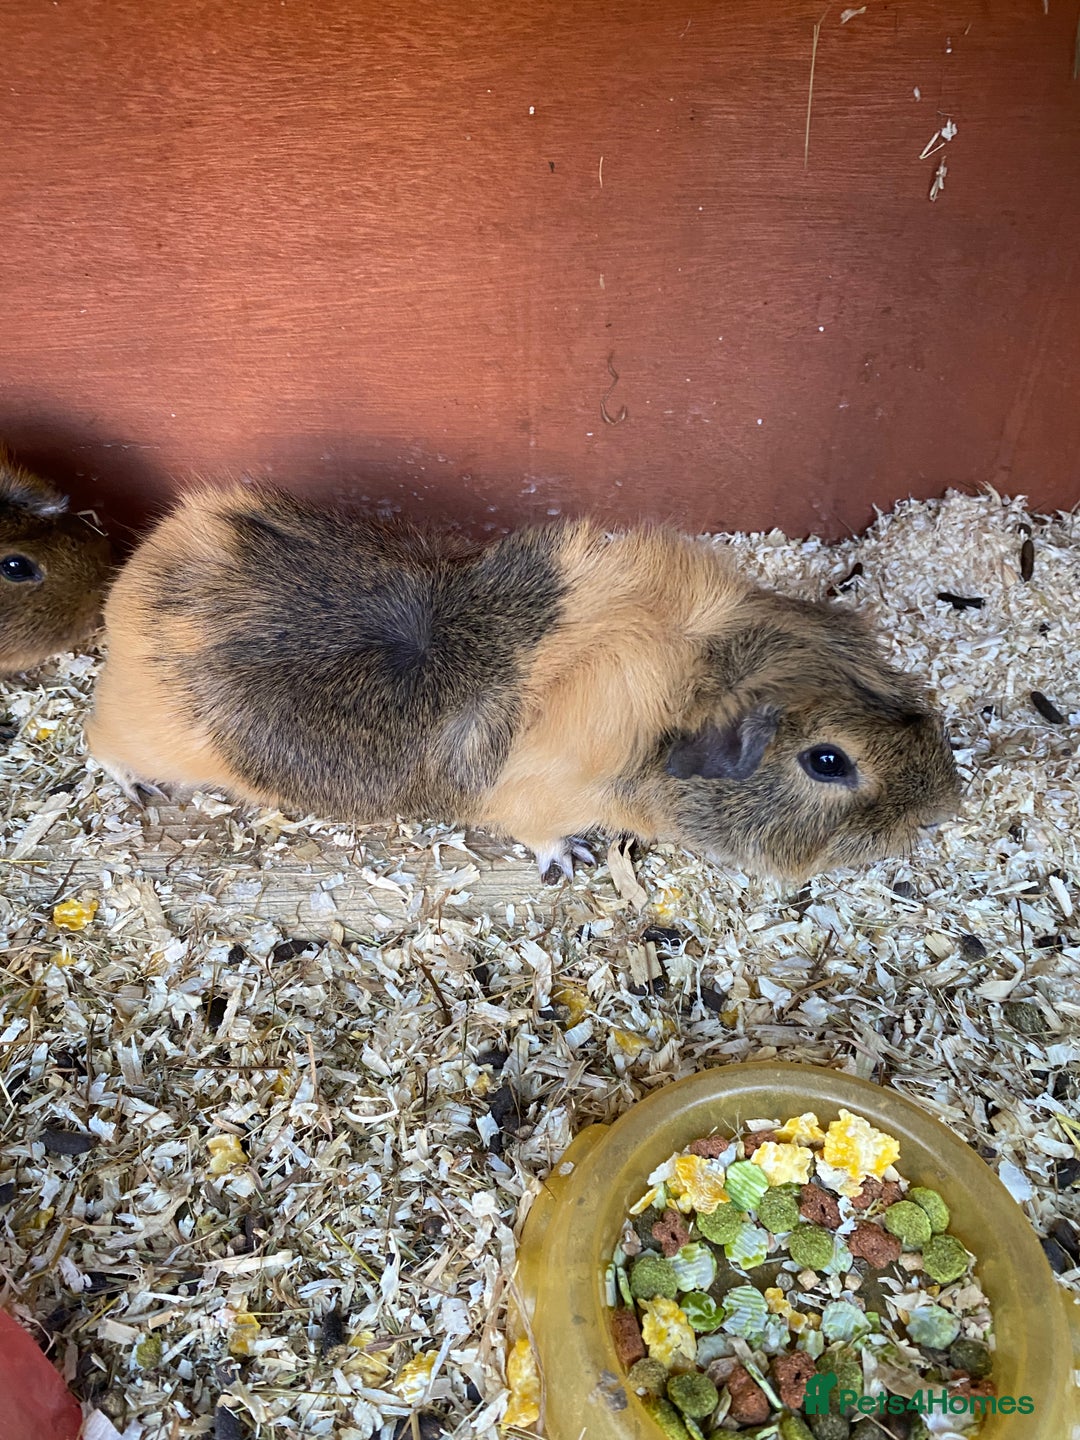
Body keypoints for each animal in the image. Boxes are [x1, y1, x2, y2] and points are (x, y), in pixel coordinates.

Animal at [85, 483, 961, 882]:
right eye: (828, 761)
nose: (944, 804)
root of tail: (138, 578)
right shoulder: (537, 803)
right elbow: (543, 833)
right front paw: (572, 861)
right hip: (140, 734)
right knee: (101, 745)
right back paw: (138, 791)